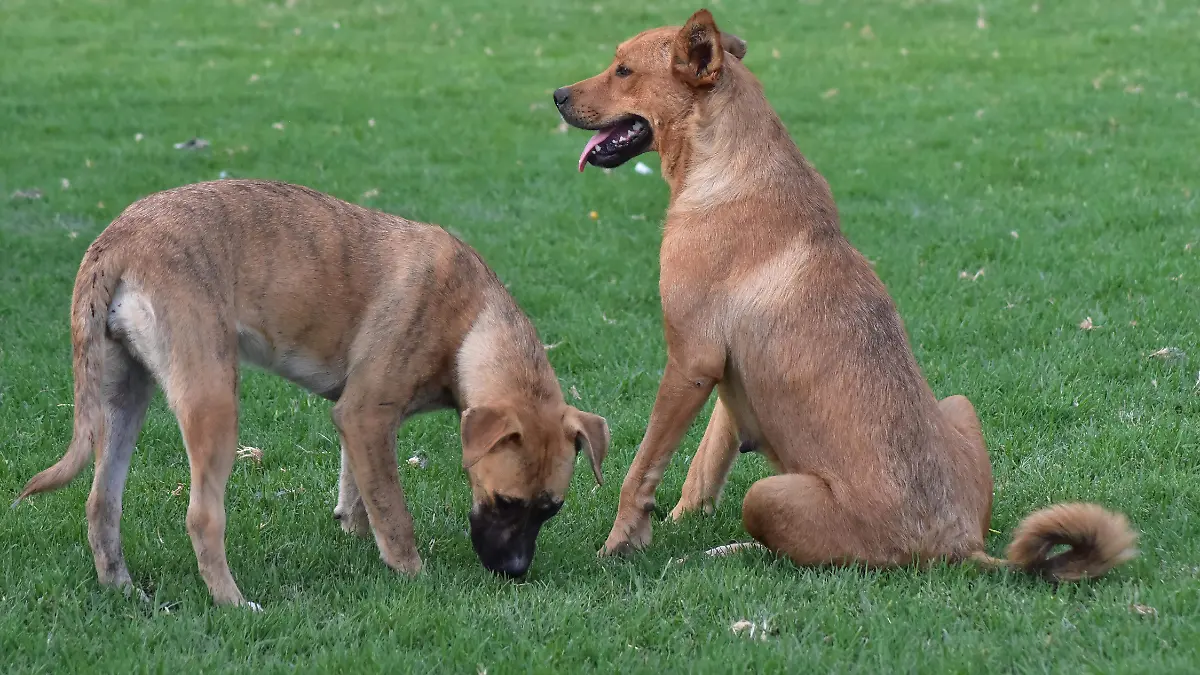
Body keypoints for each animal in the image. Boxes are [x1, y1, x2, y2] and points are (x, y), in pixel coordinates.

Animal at [18, 177, 614, 605]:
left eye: (551, 510)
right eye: (506, 502)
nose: (515, 574)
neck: (471, 323)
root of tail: (117, 240)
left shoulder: (362, 424)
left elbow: (362, 493)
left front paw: (356, 534)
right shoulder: (366, 415)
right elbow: (395, 514)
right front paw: (413, 575)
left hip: (123, 398)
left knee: (101, 503)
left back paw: (122, 590)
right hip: (212, 400)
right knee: (202, 517)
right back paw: (234, 603)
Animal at [552, 10, 1132, 578]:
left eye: (623, 70)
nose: (556, 94)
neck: (727, 165)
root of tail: (959, 546)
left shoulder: (690, 361)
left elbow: (642, 470)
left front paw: (621, 544)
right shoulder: (725, 375)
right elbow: (705, 463)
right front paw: (679, 519)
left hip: (766, 496)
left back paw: (728, 551)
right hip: (958, 406)